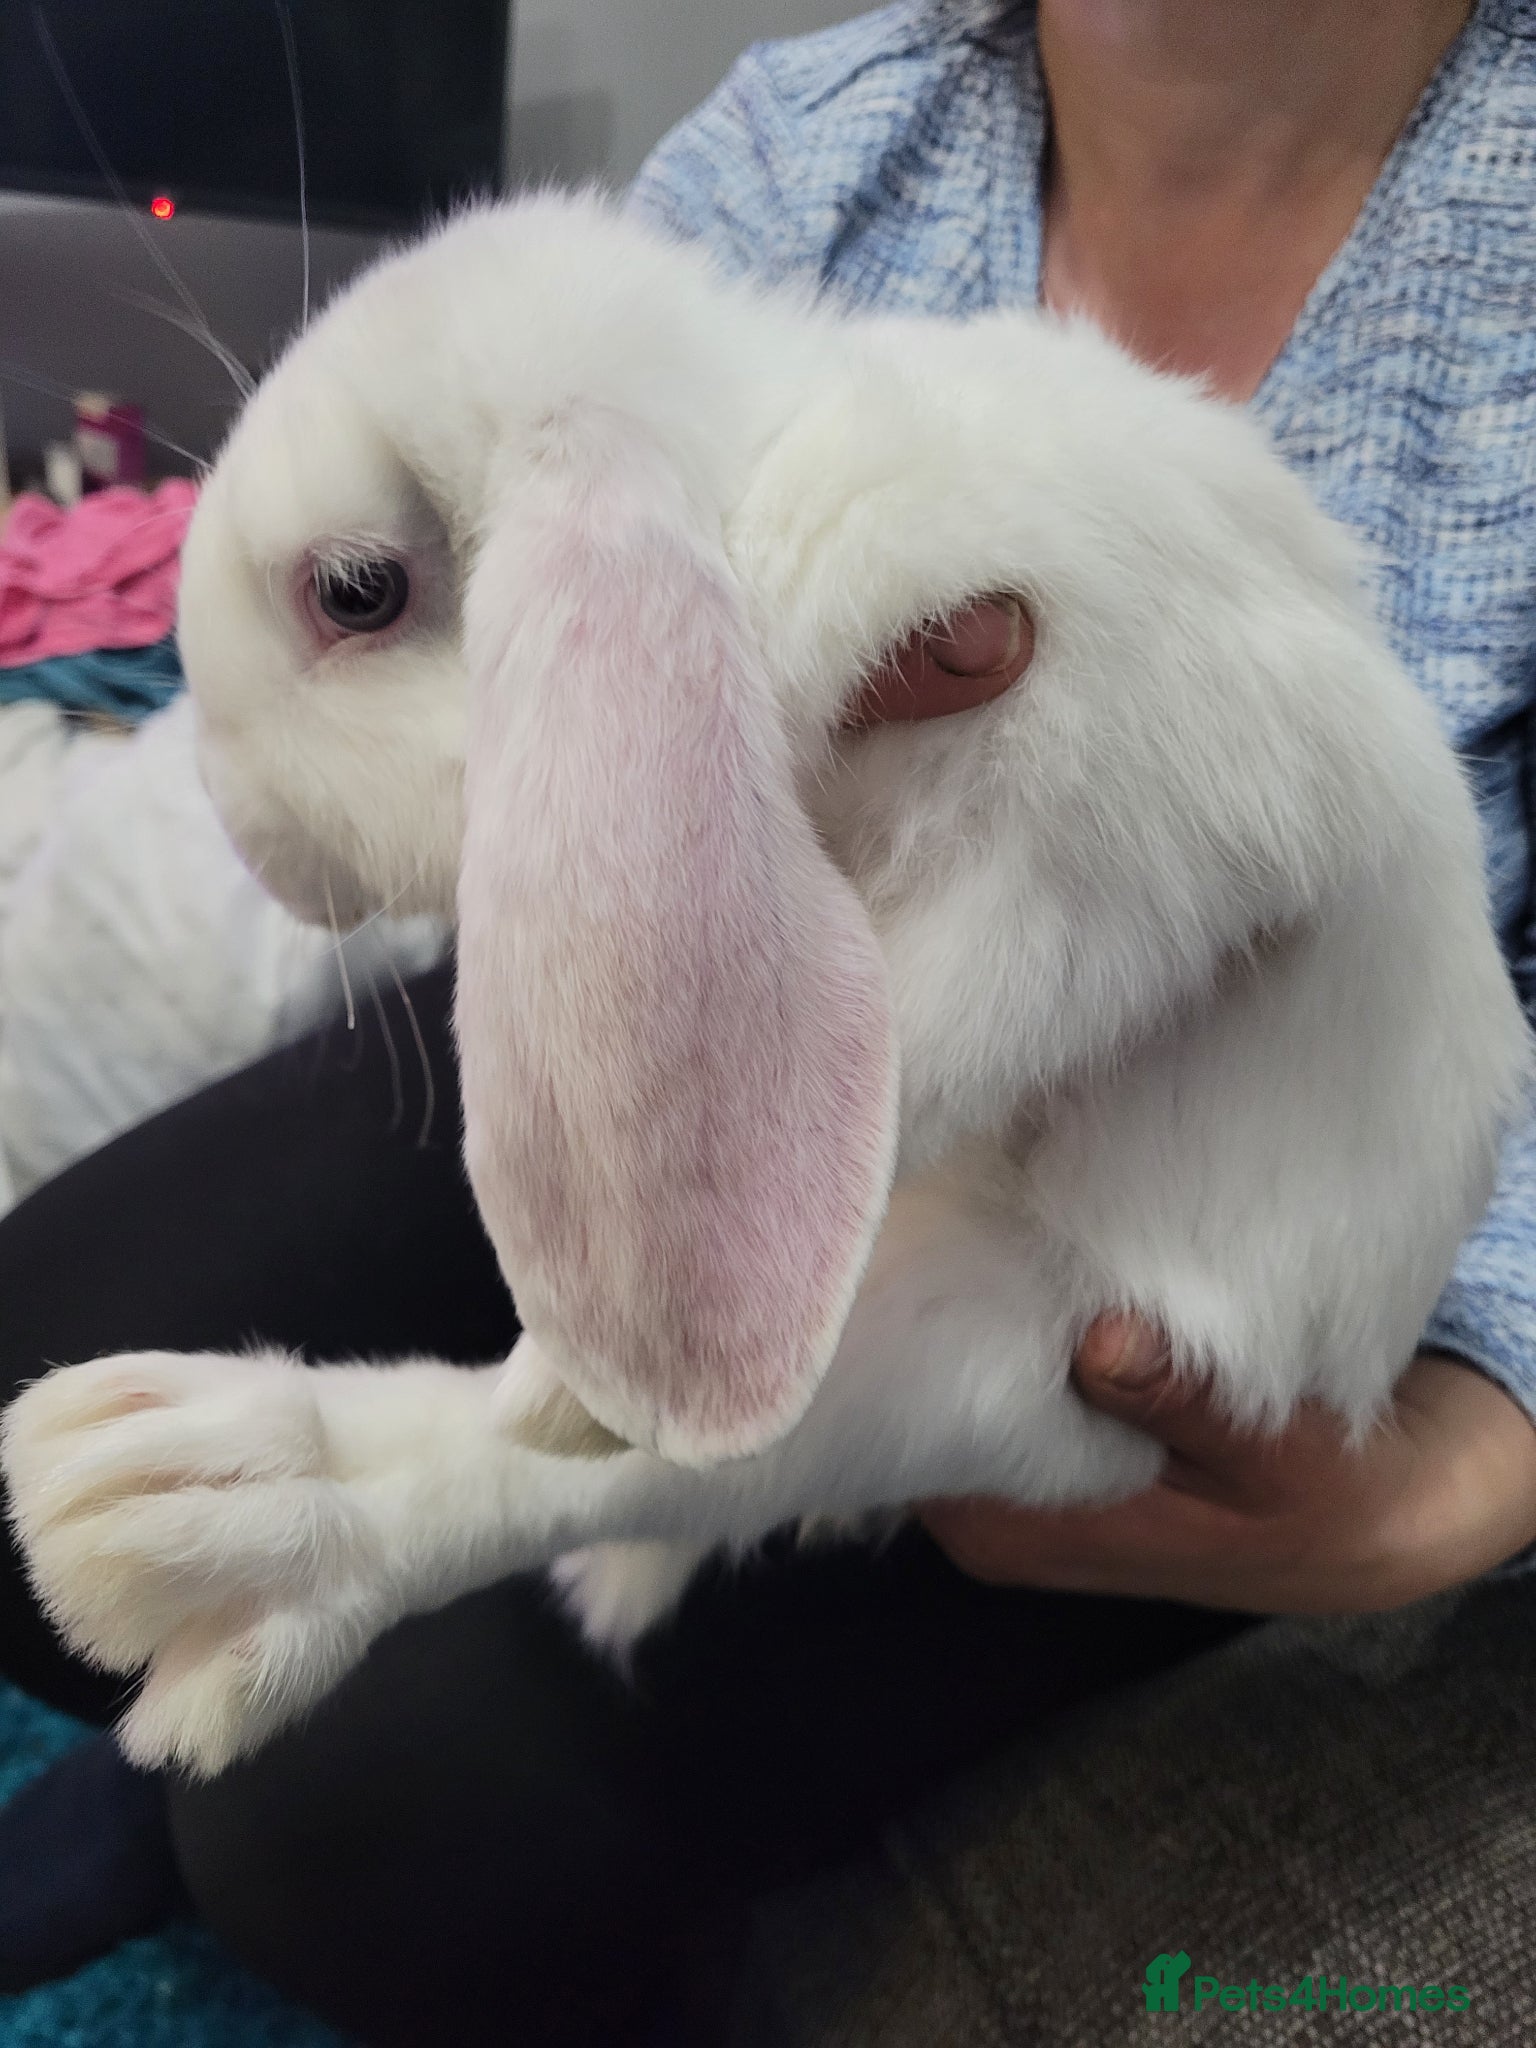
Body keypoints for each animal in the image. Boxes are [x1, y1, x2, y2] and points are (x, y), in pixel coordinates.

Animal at [2, 191, 1527, 1776]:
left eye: (354, 592)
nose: (246, 837)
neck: (761, 483)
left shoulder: (1116, 838)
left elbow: (959, 1022)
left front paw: (560, 1381)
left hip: (1037, 1368)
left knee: (662, 1469)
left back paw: (201, 1511)